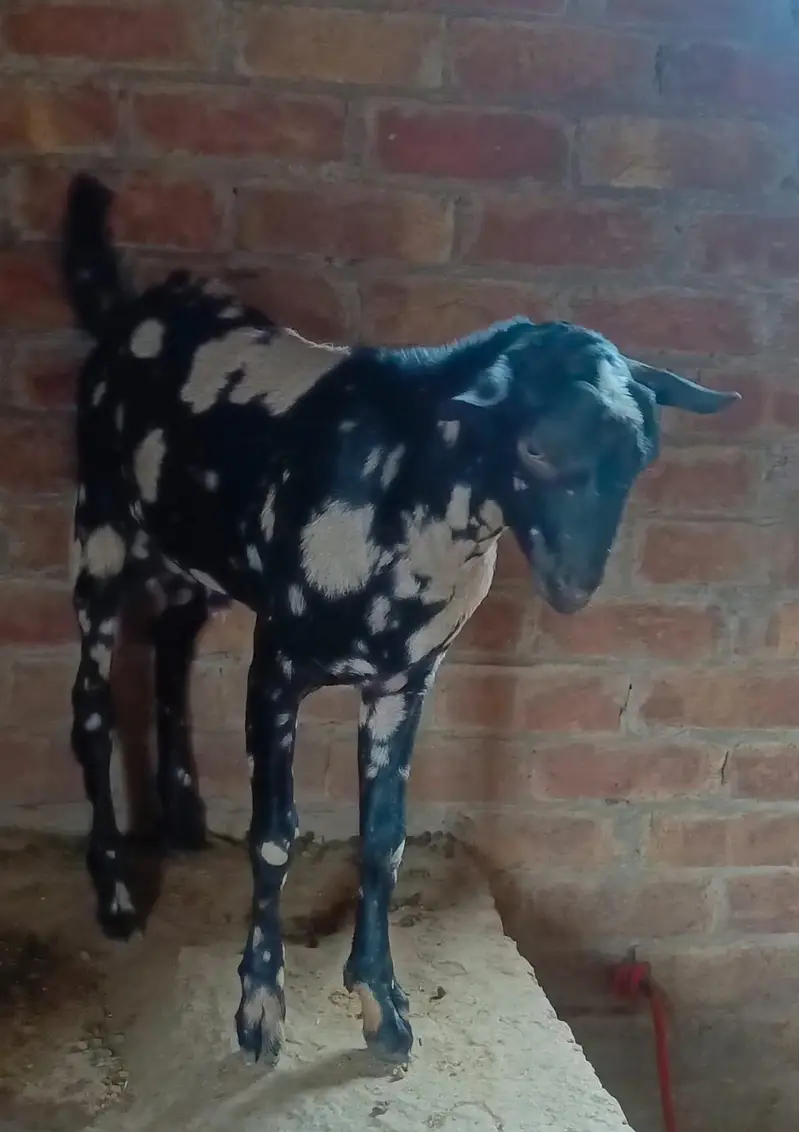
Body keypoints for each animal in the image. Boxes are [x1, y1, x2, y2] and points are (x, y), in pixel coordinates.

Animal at [60, 172, 740, 1066]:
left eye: (642, 452)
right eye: (532, 447)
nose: (574, 584)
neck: (402, 496)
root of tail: (125, 315)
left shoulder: (405, 682)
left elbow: (384, 838)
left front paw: (381, 1005)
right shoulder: (276, 667)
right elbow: (273, 834)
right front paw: (259, 1011)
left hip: (194, 560)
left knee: (170, 646)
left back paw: (179, 822)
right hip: (101, 537)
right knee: (92, 707)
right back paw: (113, 896)